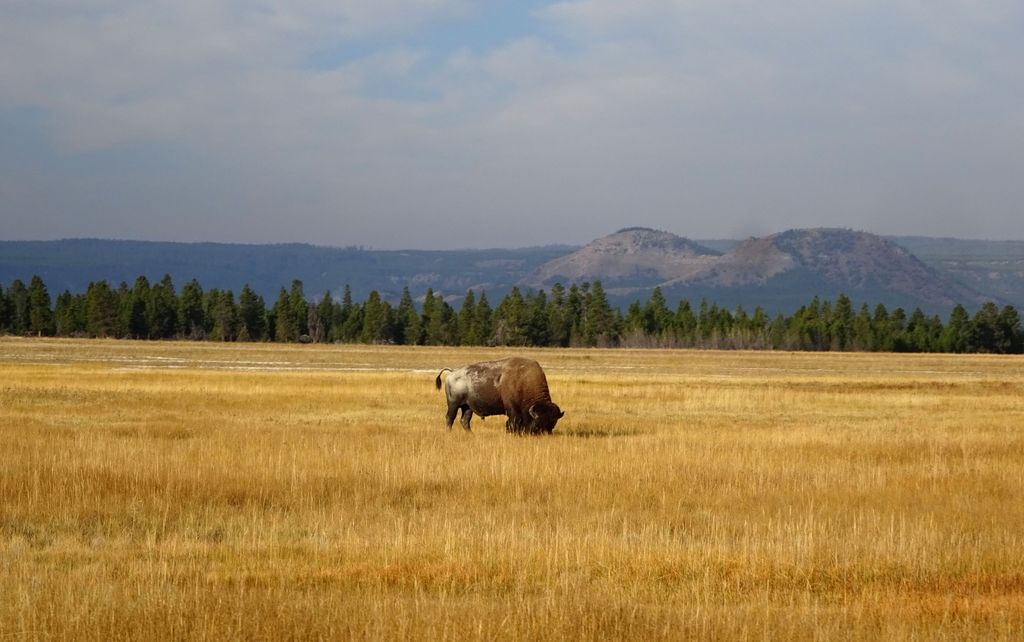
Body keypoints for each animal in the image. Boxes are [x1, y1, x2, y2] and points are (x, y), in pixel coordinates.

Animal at [434, 356, 569, 436]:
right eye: (537, 424)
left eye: (552, 424)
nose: (545, 435)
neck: (523, 381)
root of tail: (452, 373)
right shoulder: (512, 410)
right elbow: (513, 423)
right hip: (453, 404)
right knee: (450, 418)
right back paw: (449, 433)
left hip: (467, 407)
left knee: (464, 421)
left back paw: (472, 435)